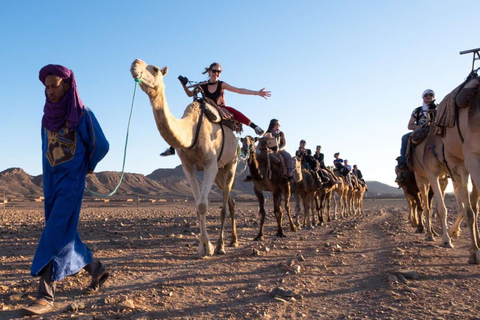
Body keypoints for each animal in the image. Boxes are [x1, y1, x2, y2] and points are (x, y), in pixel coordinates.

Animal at [131, 58, 238, 256]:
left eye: (155, 69)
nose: (135, 64)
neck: (190, 129)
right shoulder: (188, 165)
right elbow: (197, 205)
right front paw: (201, 247)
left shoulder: (209, 163)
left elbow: (203, 205)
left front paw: (209, 247)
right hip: (219, 173)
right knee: (231, 201)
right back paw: (233, 240)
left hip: (230, 164)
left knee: (225, 205)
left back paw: (222, 245)